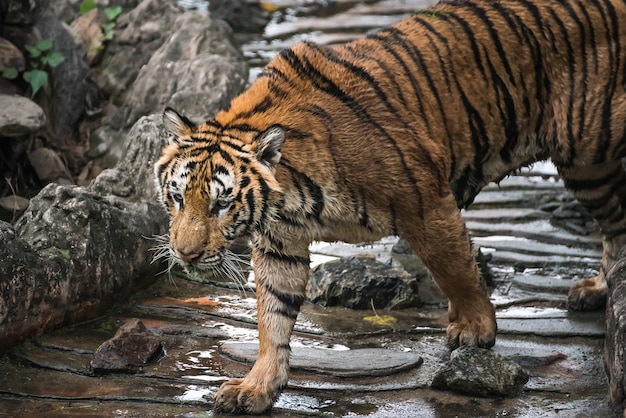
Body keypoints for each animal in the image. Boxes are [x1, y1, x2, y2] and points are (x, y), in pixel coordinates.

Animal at [154, 0, 624, 414]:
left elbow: (455, 268)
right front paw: (257, 387)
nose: (185, 254)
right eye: (177, 198)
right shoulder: (279, 243)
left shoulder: (426, 202)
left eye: (222, 204)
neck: (290, 193)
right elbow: (273, 319)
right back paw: (598, 288)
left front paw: (474, 329)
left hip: (587, 154)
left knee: (615, 221)